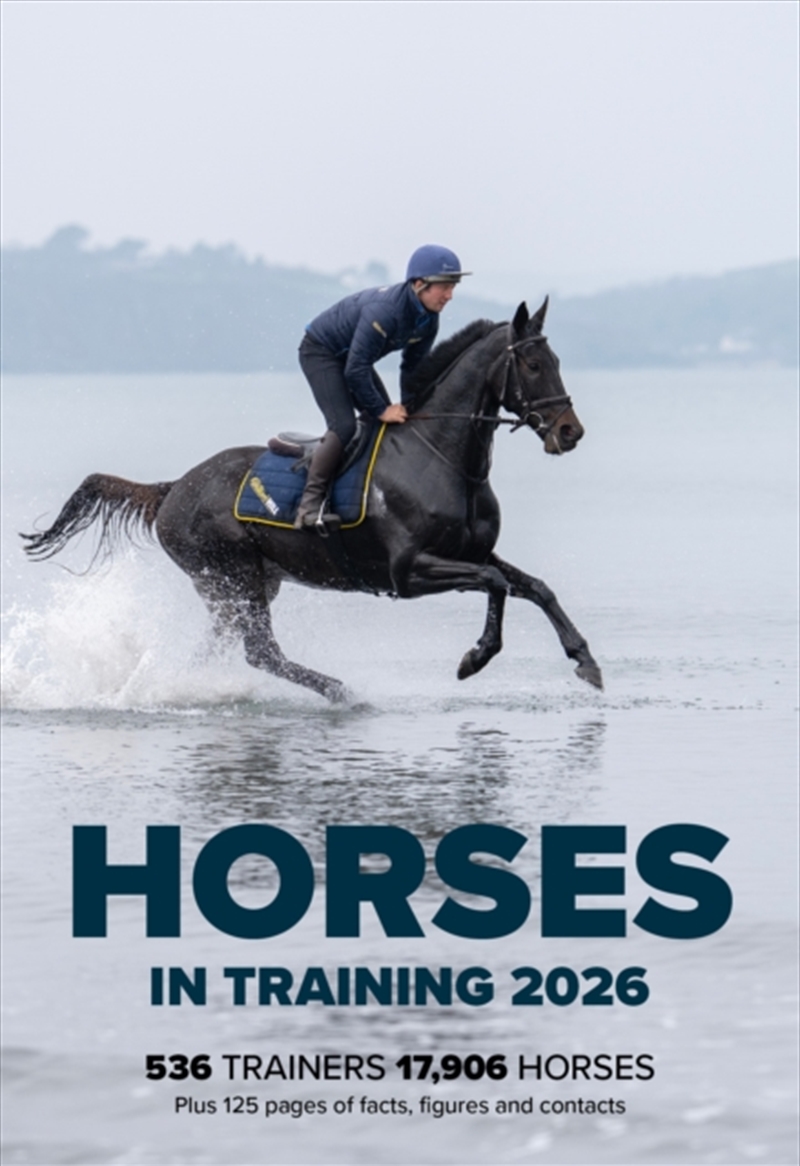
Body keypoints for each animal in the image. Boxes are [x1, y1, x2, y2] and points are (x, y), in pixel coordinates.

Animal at [21, 299, 603, 701]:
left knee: (221, 647)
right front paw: (474, 658)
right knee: (261, 652)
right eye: (532, 365)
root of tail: (173, 488)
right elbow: (496, 583)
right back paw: (341, 691)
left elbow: (534, 586)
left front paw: (586, 661)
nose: (570, 431)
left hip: (241, 586)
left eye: (555, 358)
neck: (442, 455)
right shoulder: (409, 572)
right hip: (231, 574)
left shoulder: (471, 551)